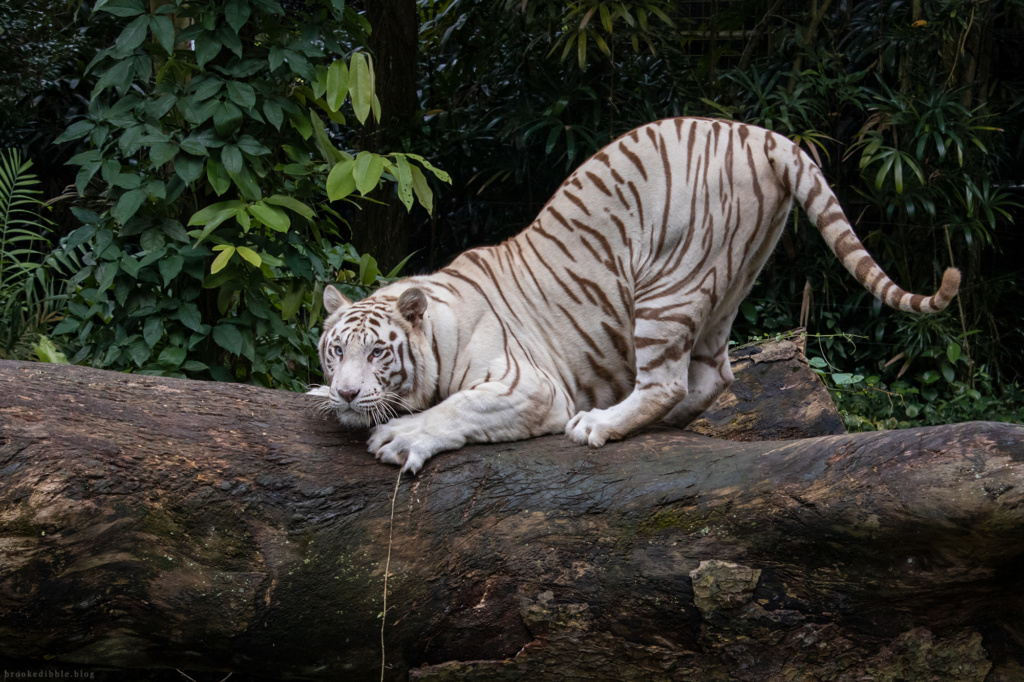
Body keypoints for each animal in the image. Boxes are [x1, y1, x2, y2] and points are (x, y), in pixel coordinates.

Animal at [309, 116, 958, 471]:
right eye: (336, 351)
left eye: (378, 353)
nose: (345, 393)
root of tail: (766, 136)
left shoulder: (529, 387)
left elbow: (457, 408)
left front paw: (399, 437)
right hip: (729, 277)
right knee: (713, 375)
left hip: (667, 287)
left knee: (668, 381)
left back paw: (600, 424)